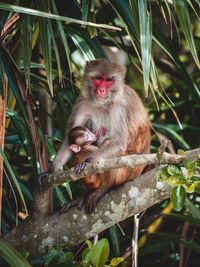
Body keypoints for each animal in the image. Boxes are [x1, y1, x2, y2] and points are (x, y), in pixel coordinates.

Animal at [38, 59, 150, 215]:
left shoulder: (119, 107)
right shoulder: (83, 102)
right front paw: (50, 171)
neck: (103, 103)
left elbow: (118, 143)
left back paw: (104, 188)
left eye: (108, 80)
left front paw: (87, 162)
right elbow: (70, 139)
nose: (101, 90)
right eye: (98, 78)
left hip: (126, 173)